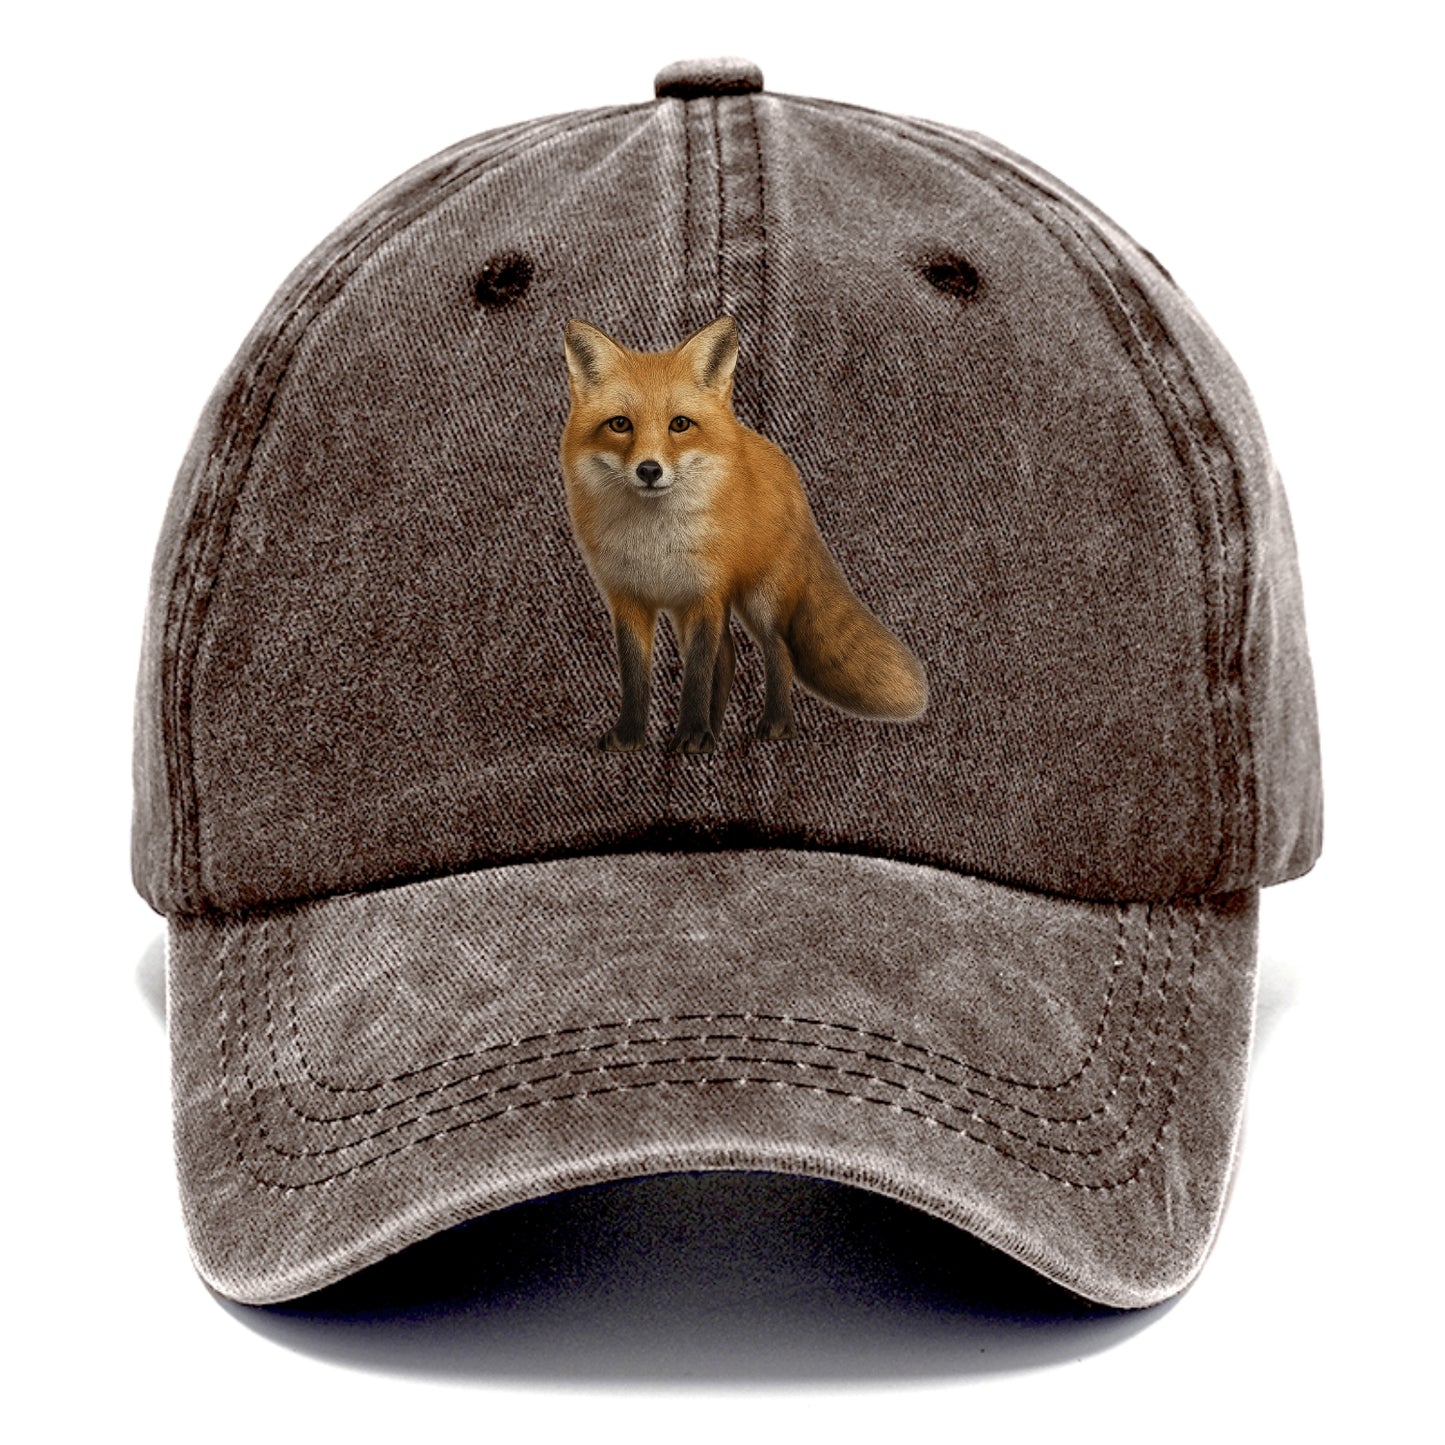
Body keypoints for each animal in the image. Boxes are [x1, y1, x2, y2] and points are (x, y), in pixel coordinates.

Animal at [559, 315, 928, 754]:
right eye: (620, 424)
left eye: (679, 424)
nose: (649, 470)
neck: (656, 541)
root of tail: (782, 464)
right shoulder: (631, 600)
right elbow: (636, 677)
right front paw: (633, 734)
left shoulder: (705, 595)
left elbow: (697, 675)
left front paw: (691, 734)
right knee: (730, 657)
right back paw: (716, 729)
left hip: (761, 600)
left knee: (779, 650)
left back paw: (775, 724)